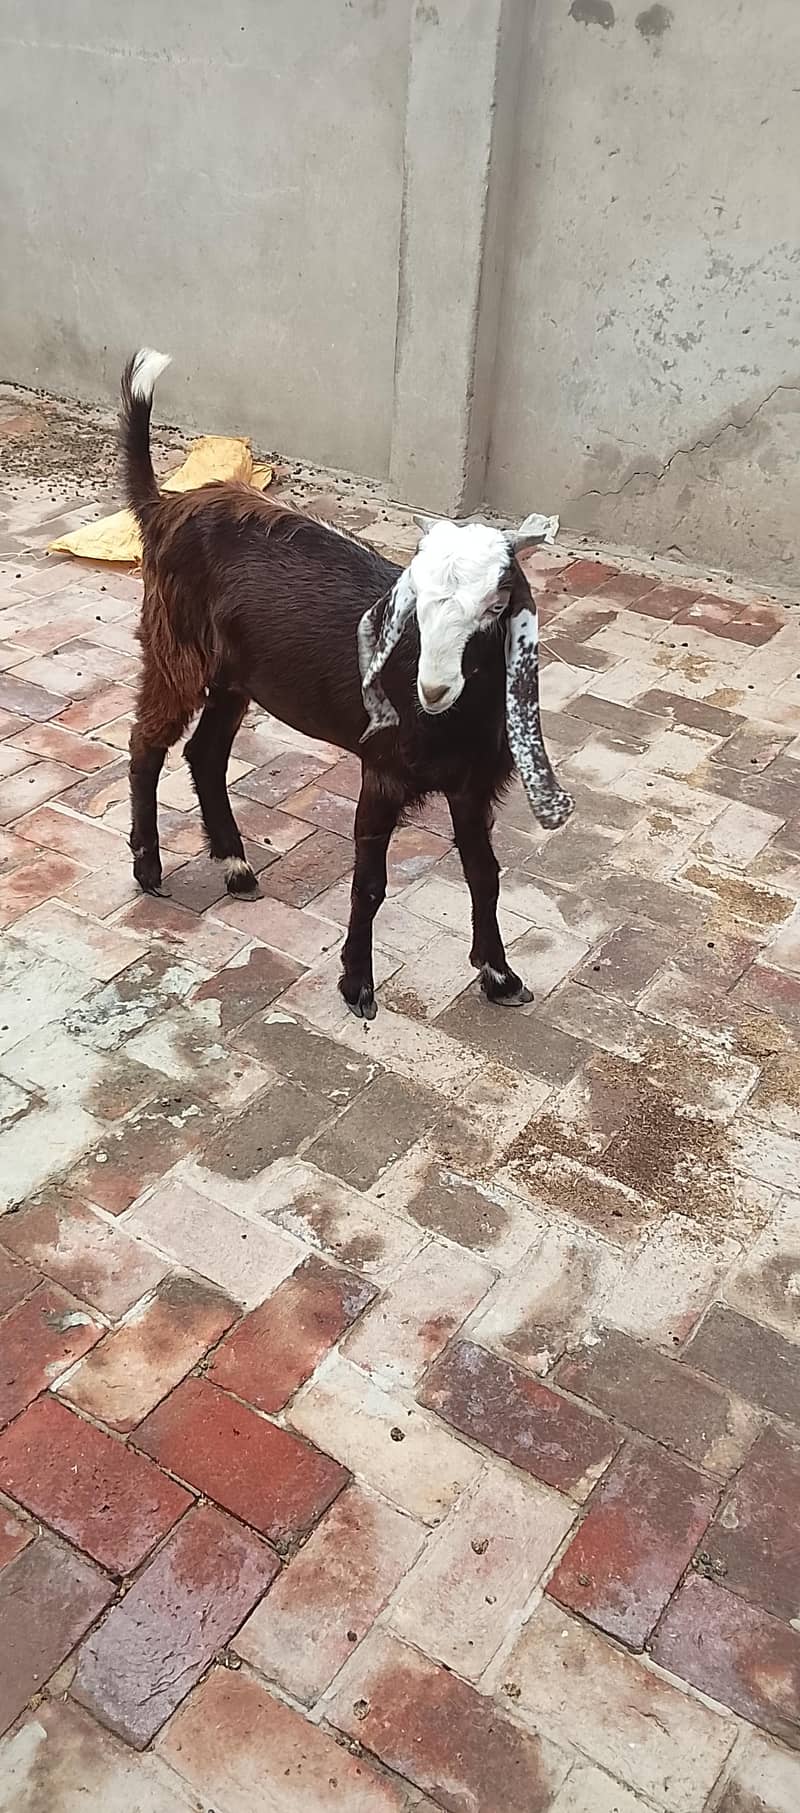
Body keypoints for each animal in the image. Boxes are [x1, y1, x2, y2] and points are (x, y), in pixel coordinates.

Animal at [121, 347, 573, 1020]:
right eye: (415, 602)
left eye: (497, 605)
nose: (432, 690)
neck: (452, 723)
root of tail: (162, 506)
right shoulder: (381, 772)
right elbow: (370, 883)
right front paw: (357, 984)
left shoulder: (472, 786)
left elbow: (484, 875)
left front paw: (499, 976)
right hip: (176, 648)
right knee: (147, 743)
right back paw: (149, 870)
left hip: (234, 677)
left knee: (205, 753)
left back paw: (235, 866)